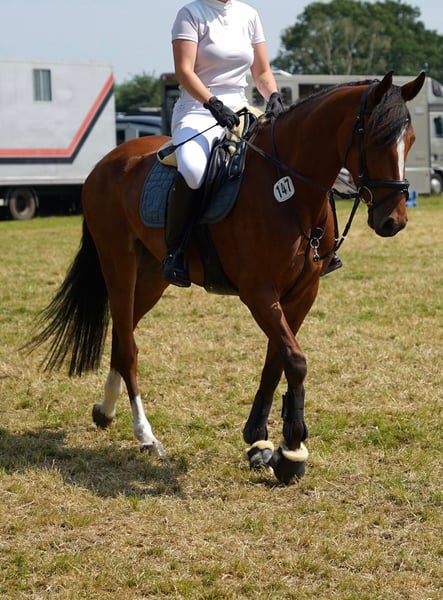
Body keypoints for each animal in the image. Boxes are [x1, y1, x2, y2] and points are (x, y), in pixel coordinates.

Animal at [27, 71, 425, 484]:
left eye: (410, 140)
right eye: (377, 139)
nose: (393, 221)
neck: (288, 190)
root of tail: (107, 162)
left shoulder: (302, 292)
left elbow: (276, 360)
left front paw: (262, 441)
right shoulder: (258, 291)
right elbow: (294, 360)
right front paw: (293, 448)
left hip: (153, 276)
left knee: (123, 337)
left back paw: (105, 411)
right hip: (118, 264)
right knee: (128, 345)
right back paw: (146, 436)